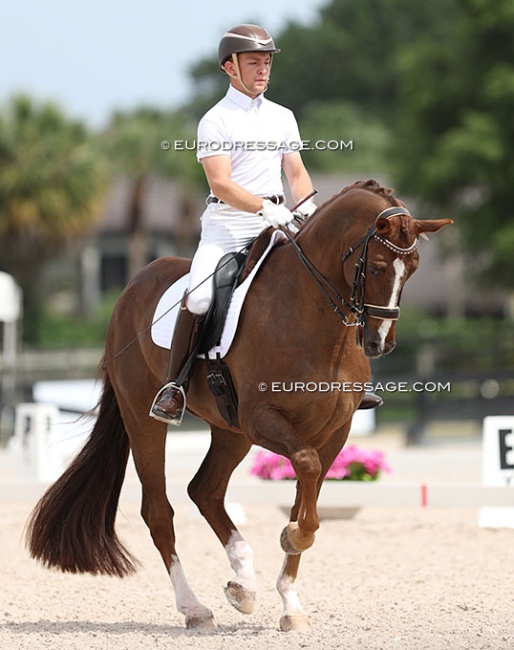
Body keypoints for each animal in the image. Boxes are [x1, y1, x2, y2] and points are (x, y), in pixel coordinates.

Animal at [26, 180, 450, 632]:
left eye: (414, 268)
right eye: (378, 267)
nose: (378, 343)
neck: (315, 318)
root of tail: (133, 286)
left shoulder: (334, 431)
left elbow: (308, 496)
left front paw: (291, 603)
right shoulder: (263, 420)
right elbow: (307, 473)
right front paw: (291, 538)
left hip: (230, 432)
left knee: (205, 491)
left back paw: (243, 586)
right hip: (146, 419)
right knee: (158, 511)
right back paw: (195, 608)